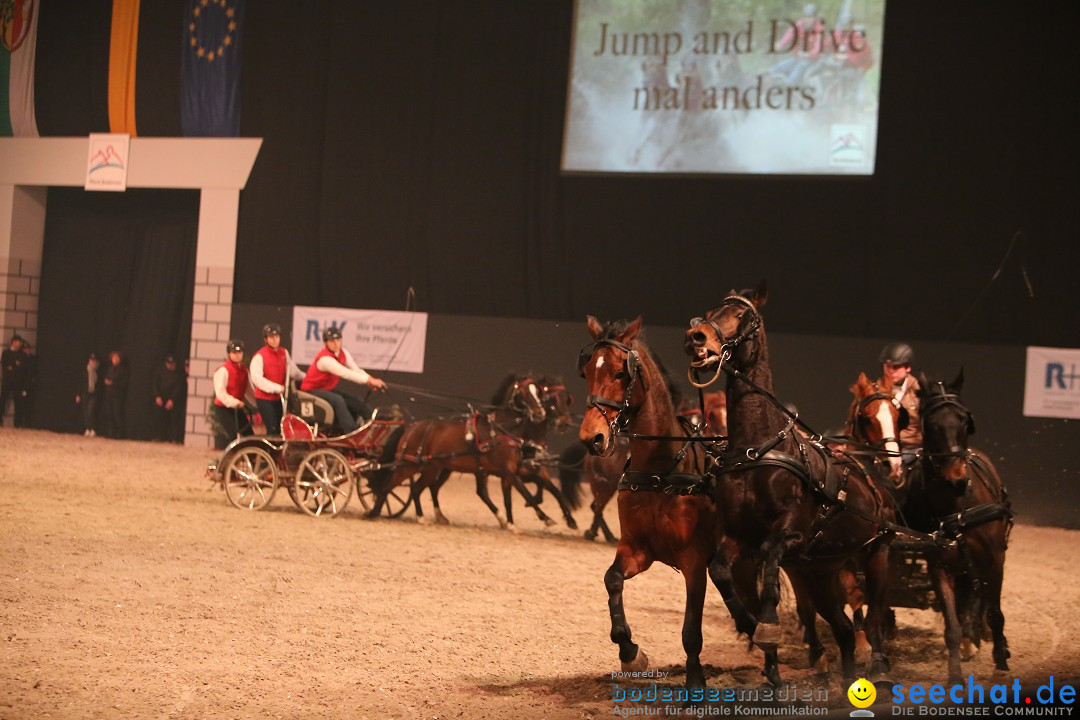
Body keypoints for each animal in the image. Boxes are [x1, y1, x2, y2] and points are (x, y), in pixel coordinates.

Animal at [578, 313, 756, 690]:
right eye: (587, 371)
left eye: (620, 373)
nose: (591, 438)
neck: (660, 472)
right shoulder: (638, 550)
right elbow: (611, 580)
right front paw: (630, 651)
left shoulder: (694, 561)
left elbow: (691, 629)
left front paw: (695, 681)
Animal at [682, 282, 894, 686]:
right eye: (711, 312)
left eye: (741, 316)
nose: (695, 336)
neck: (758, 449)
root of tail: (873, 480)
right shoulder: (737, 535)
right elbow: (720, 571)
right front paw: (751, 627)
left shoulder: (788, 534)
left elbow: (769, 569)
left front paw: (766, 630)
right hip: (823, 569)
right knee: (844, 629)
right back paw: (845, 684)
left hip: (875, 554)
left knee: (874, 616)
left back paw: (877, 666)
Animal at [907, 371, 1015, 682]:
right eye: (931, 424)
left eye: (965, 421)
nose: (956, 478)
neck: (957, 507)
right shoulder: (939, 563)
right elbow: (951, 624)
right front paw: (954, 673)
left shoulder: (994, 559)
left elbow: (995, 612)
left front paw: (1000, 660)